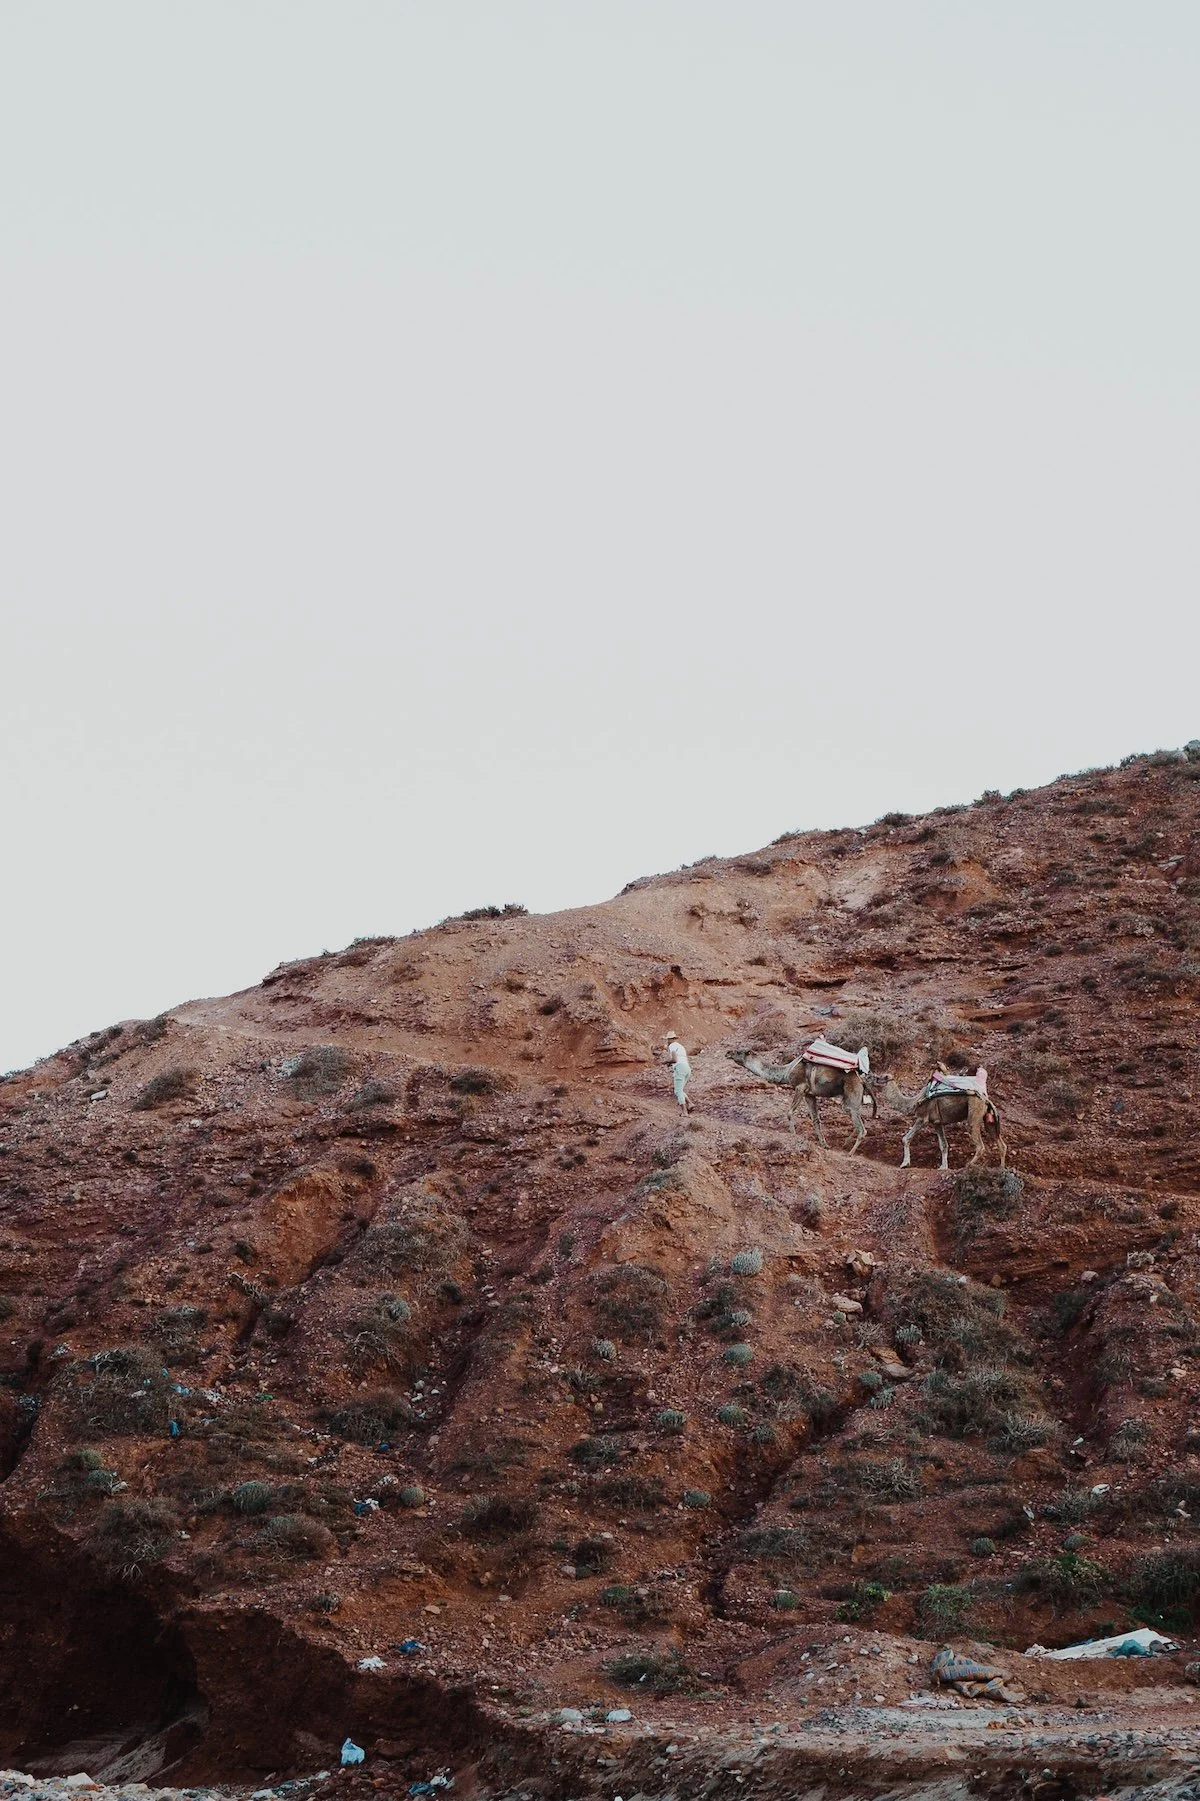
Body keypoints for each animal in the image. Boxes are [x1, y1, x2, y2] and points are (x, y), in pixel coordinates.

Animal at [725, 1048, 874, 1150]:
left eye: (738, 1051)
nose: (727, 1053)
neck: (786, 1072)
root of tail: (862, 1081)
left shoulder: (800, 1087)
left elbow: (789, 1112)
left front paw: (793, 1133)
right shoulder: (809, 1094)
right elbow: (816, 1120)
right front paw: (824, 1144)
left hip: (852, 1093)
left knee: (862, 1129)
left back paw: (850, 1153)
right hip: (851, 1099)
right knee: (858, 1118)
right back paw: (845, 1144)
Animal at [865, 1074, 1008, 1171]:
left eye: (878, 1077)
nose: (867, 1076)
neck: (914, 1101)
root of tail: (985, 1099)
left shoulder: (923, 1118)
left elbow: (906, 1138)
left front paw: (904, 1163)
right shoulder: (937, 1123)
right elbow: (943, 1145)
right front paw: (943, 1167)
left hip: (974, 1111)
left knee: (980, 1145)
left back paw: (968, 1165)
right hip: (988, 1118)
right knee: (1001, 1144)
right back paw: (1001, 1168)